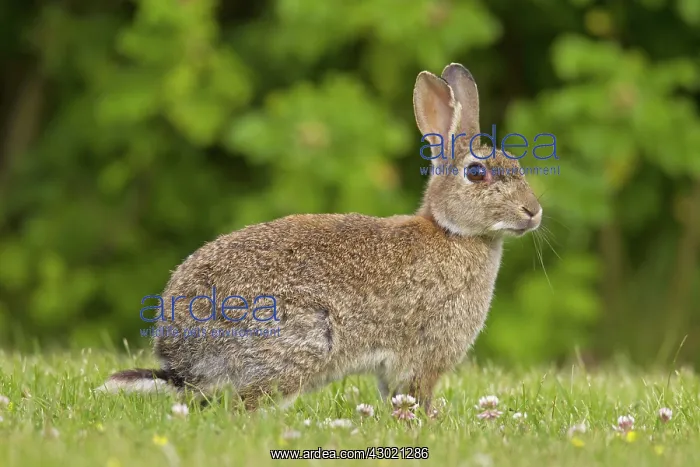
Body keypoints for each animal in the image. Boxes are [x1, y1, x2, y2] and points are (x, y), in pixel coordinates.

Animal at [98, 63, 543, 413]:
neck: (453, 233)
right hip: (301, 342)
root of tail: (179, 360)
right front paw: (427, 422)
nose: (533, 211)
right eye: (476, 173)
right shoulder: (423, 356)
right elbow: (415, 393)